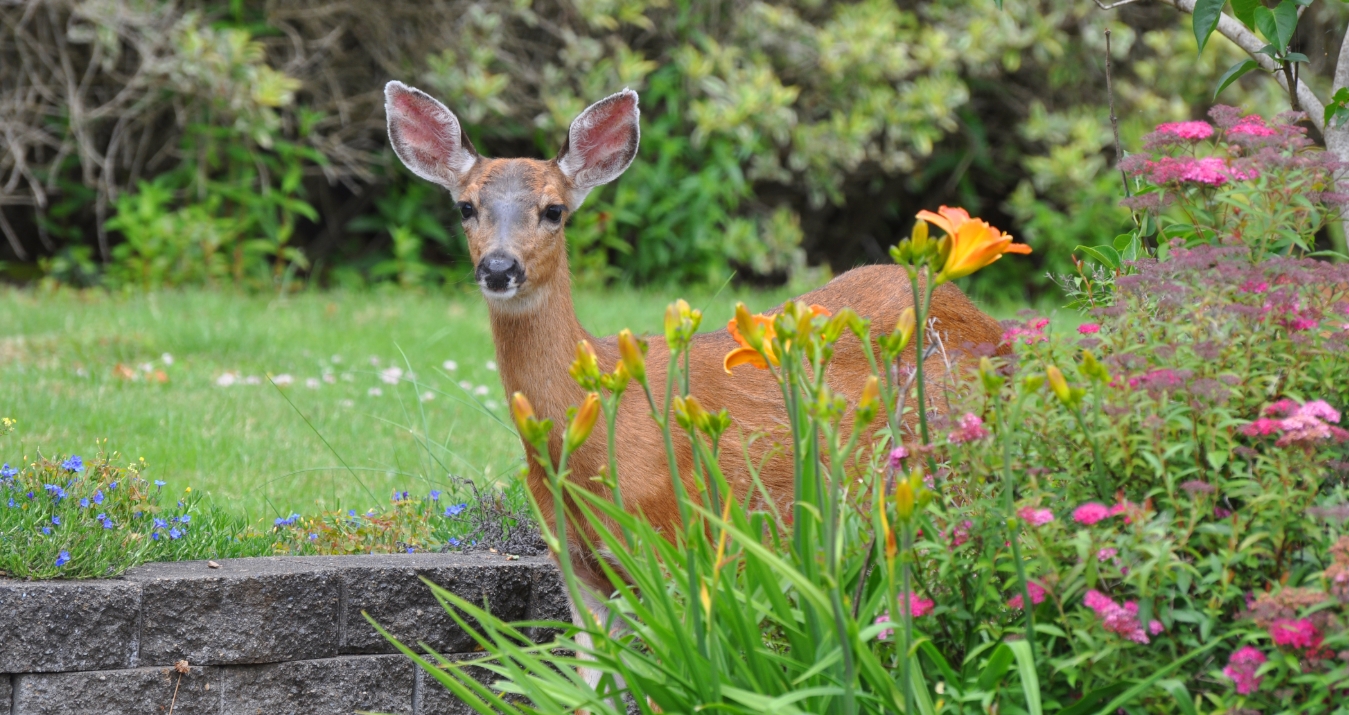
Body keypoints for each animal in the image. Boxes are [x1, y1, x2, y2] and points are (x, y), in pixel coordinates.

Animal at [385, 80, 1009, 604]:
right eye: (465, 207)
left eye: (554, 210)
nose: (498, 267)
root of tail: (991, 325)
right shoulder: (578, 567)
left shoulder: (674, 535)